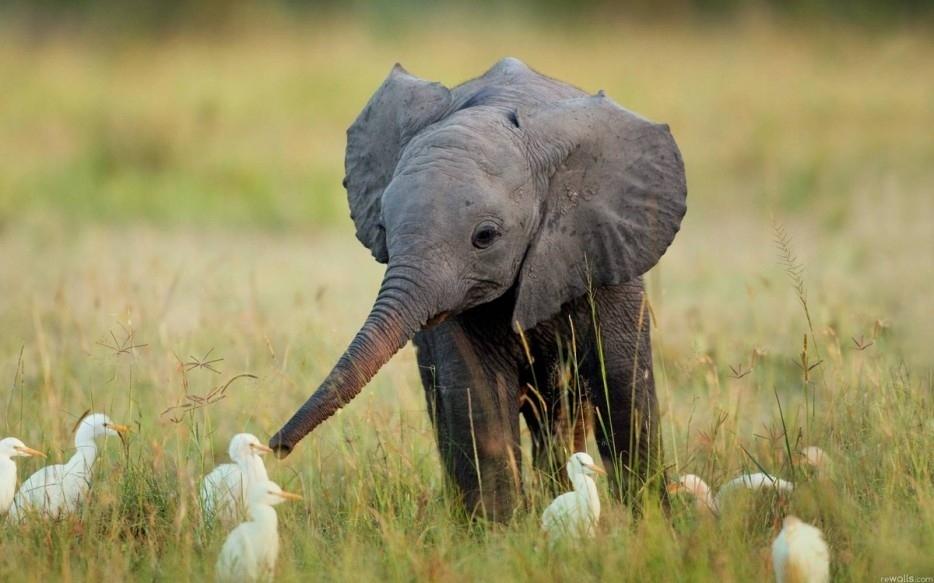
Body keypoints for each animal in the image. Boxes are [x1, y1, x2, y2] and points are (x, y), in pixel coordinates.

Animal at [270, 56, 688, 520]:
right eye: (383, 227)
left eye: (484, 237)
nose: (276, 447)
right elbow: (478, 396)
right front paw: (498, 533)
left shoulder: (605, 250)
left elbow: (623, 388)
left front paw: (652, 523)